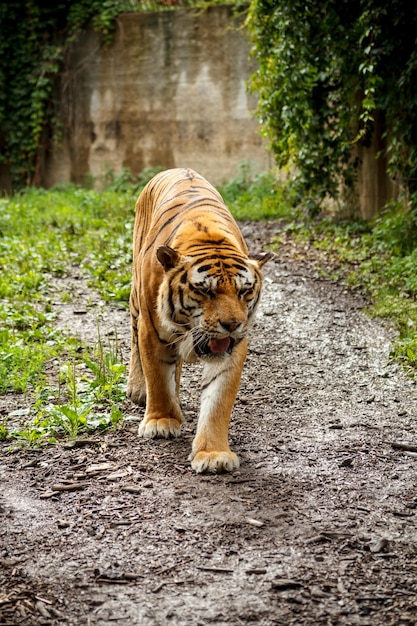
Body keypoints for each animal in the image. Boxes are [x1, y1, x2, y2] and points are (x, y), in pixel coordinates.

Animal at [128, 168, 274, 470]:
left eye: (244, 291)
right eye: (205, 291)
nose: (232, 325)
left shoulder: (234, 347)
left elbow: (218, 400)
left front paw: (213, 454)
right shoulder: (152, 330)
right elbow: (157, 377)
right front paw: (161, 421)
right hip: (136, 297)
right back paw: (138, 390)